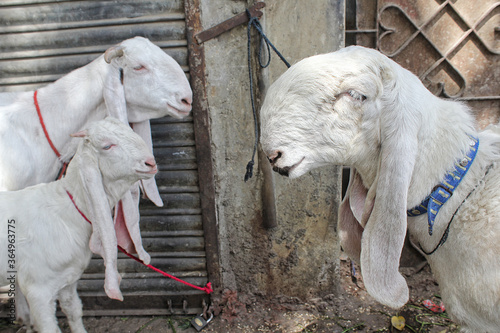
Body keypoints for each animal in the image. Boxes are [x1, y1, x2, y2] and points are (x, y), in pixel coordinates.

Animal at [0, 117, 158, 332]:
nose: (150, 163)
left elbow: (74, 310)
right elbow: (49, 327)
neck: (66, 211)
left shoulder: (68, 279)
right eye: (107, 146)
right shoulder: (38, 289)